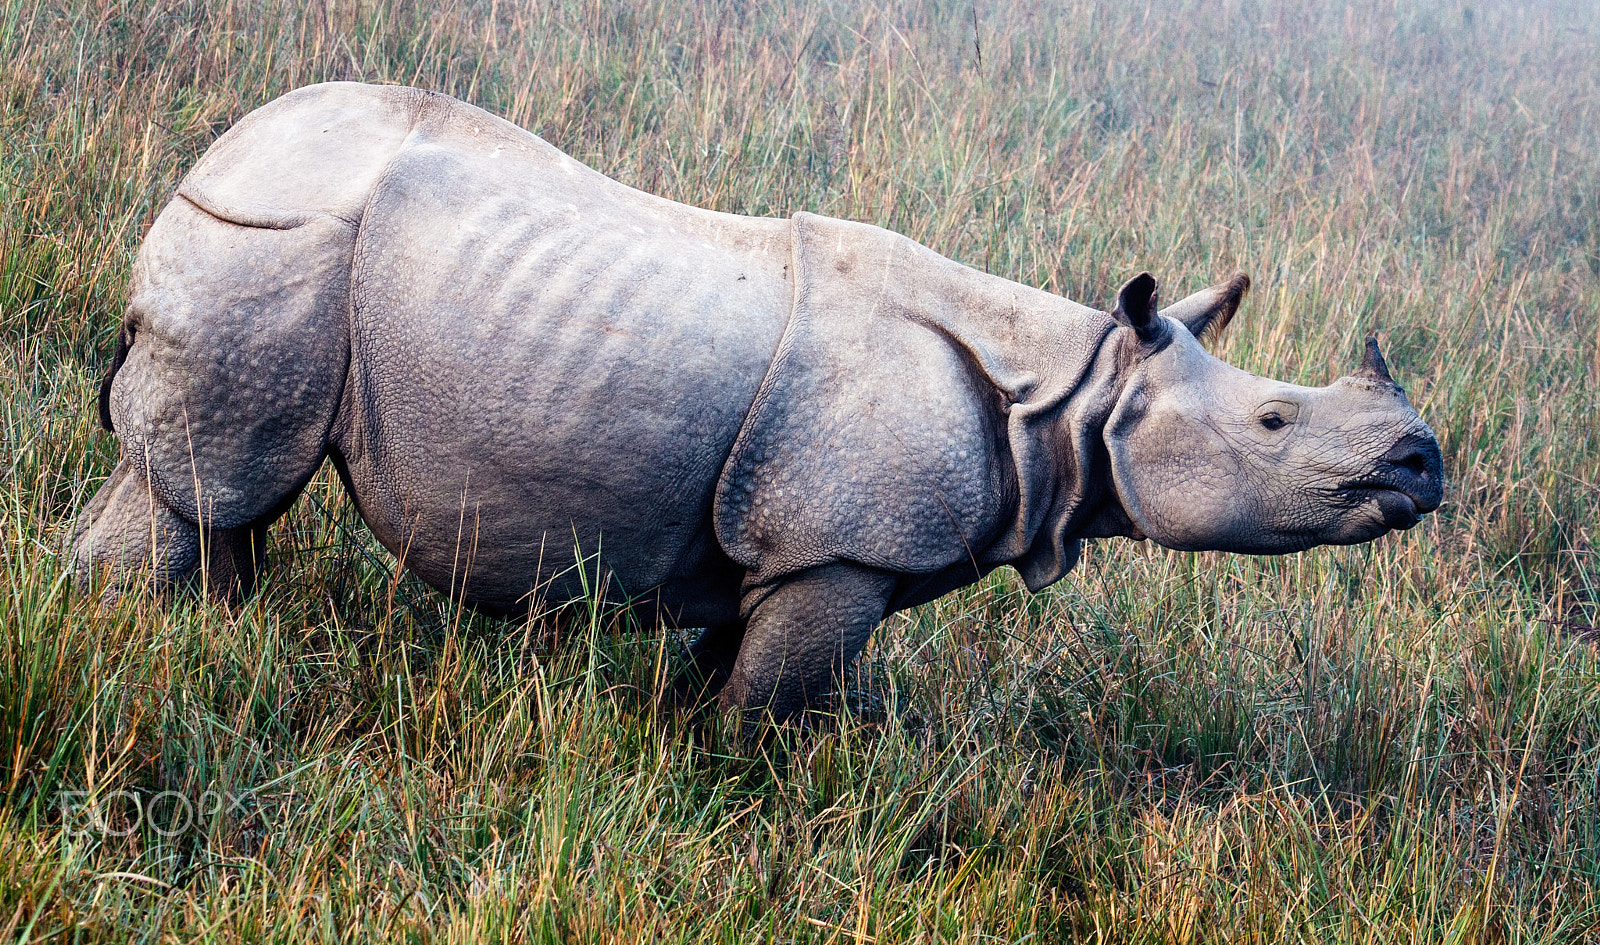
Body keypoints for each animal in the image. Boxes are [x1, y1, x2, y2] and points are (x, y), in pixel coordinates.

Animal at [71, 83, 1443, 721]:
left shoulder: (798, 549)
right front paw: (743, 788)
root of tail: (215, 153)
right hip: (273, 242)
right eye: (1274, 421)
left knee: (228, 498)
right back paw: (125, 634)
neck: (1074, 394)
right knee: (201, 485)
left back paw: (213, 634)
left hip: (284, 245)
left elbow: (736, 671)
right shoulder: (842, 548)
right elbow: (766, 709)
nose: (1422, 459)